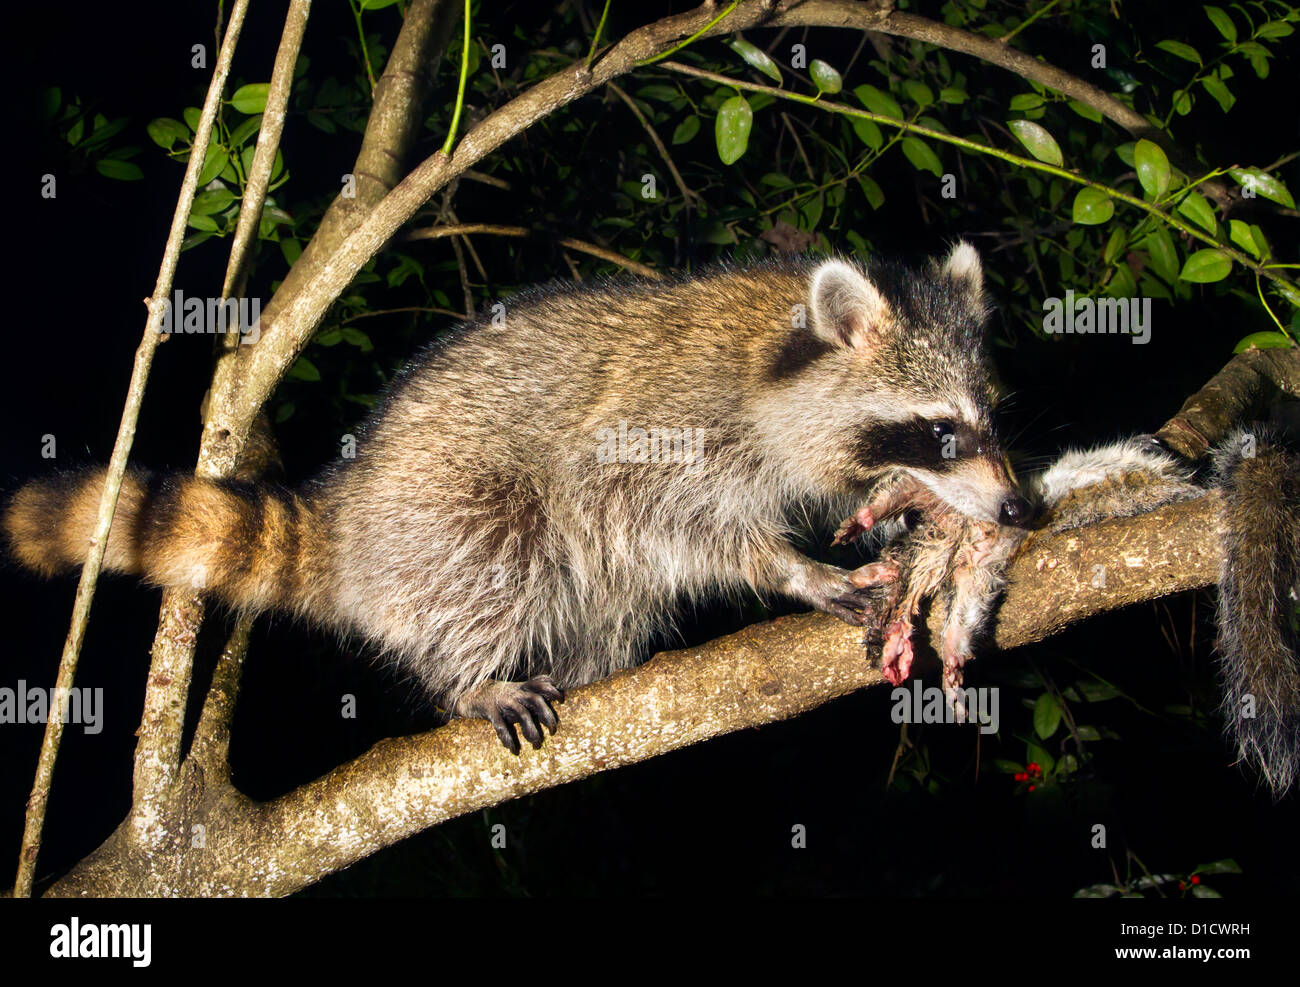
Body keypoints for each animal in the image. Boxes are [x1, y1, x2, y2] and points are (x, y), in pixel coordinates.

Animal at [5, 243, 1029, 754]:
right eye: (941, 431)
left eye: (989, 418)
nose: (1020, 511)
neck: (772, 353)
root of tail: (352, 507)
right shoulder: (661, 428)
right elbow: (651, 511)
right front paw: (789, 567)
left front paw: (898, 513)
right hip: (442, 512)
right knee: (504, 547)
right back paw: (469, 675)